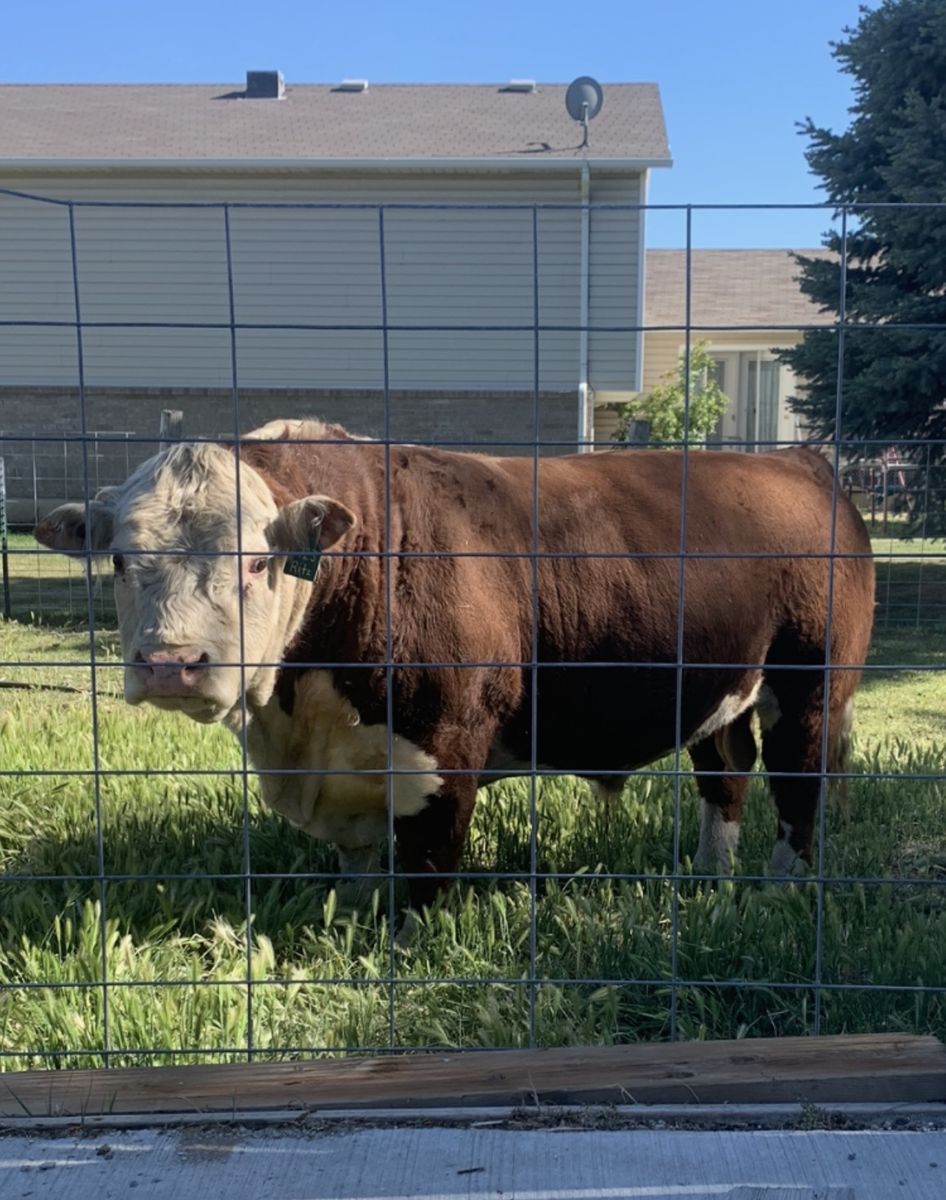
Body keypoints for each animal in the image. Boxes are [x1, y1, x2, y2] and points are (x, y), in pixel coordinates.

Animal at [35, 419, 875, 918]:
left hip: (812, 685)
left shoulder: (443, 742)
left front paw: (407, 946)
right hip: (722, 691)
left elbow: (428, 863)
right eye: (118, 560)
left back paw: (782, 891)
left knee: (799, 787)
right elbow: (357, 860)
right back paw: (709, 881)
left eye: (256, 560)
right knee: (725, 774)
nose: (171, 664)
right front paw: (351, 920)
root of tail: (799, 462)